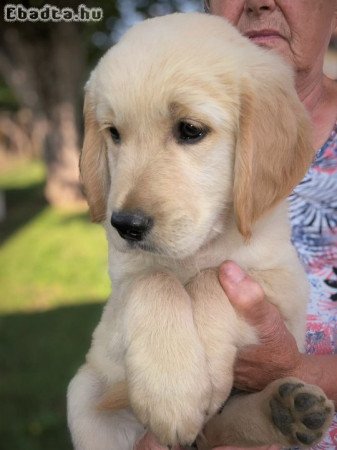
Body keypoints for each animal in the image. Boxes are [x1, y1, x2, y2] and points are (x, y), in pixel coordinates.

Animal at [66, 12, 334, 448]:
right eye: (114, 133)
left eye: (190, 129)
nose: (125, 225)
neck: (199, 248)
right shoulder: (119, 296)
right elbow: (155, 281)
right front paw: (173, 392)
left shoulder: (285, 285)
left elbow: (210, 281)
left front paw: (202, 371)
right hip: (84, 391)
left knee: (228, 425)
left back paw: (289, 411)